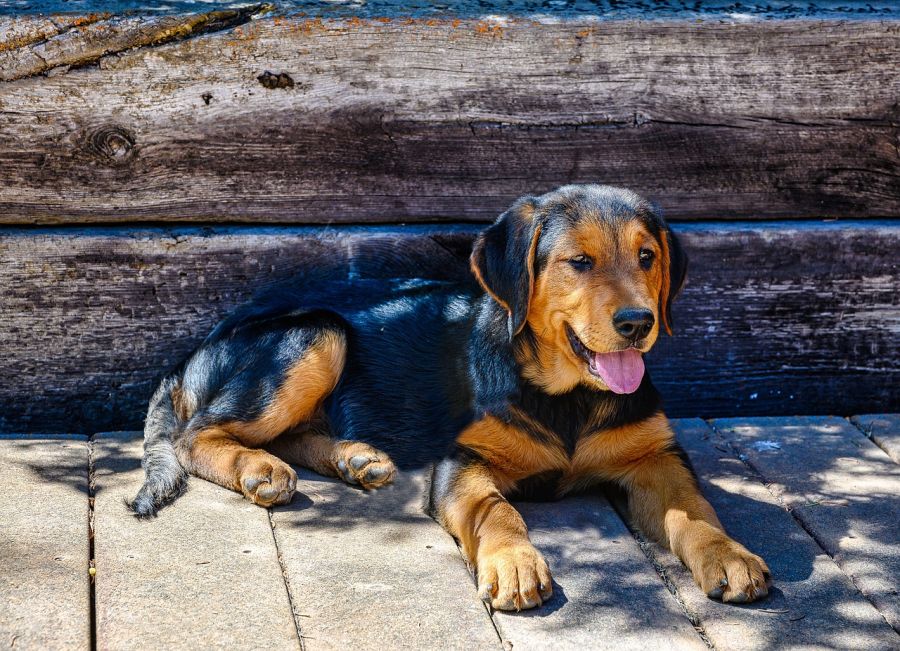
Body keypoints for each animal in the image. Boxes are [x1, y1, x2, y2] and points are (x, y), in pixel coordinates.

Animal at [130, 183, 768, 612]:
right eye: (579, 262)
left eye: (647, 257)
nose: (638, 323)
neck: (569, 399)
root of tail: (197, 348)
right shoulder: (464, 461)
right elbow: (499, 511)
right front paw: (515, 564)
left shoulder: (655, 455)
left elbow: (694, 509)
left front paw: (730, 555)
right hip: (316, 334)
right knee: (197, 435)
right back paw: (258, 468)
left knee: (284, 431)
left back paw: (356, 458)